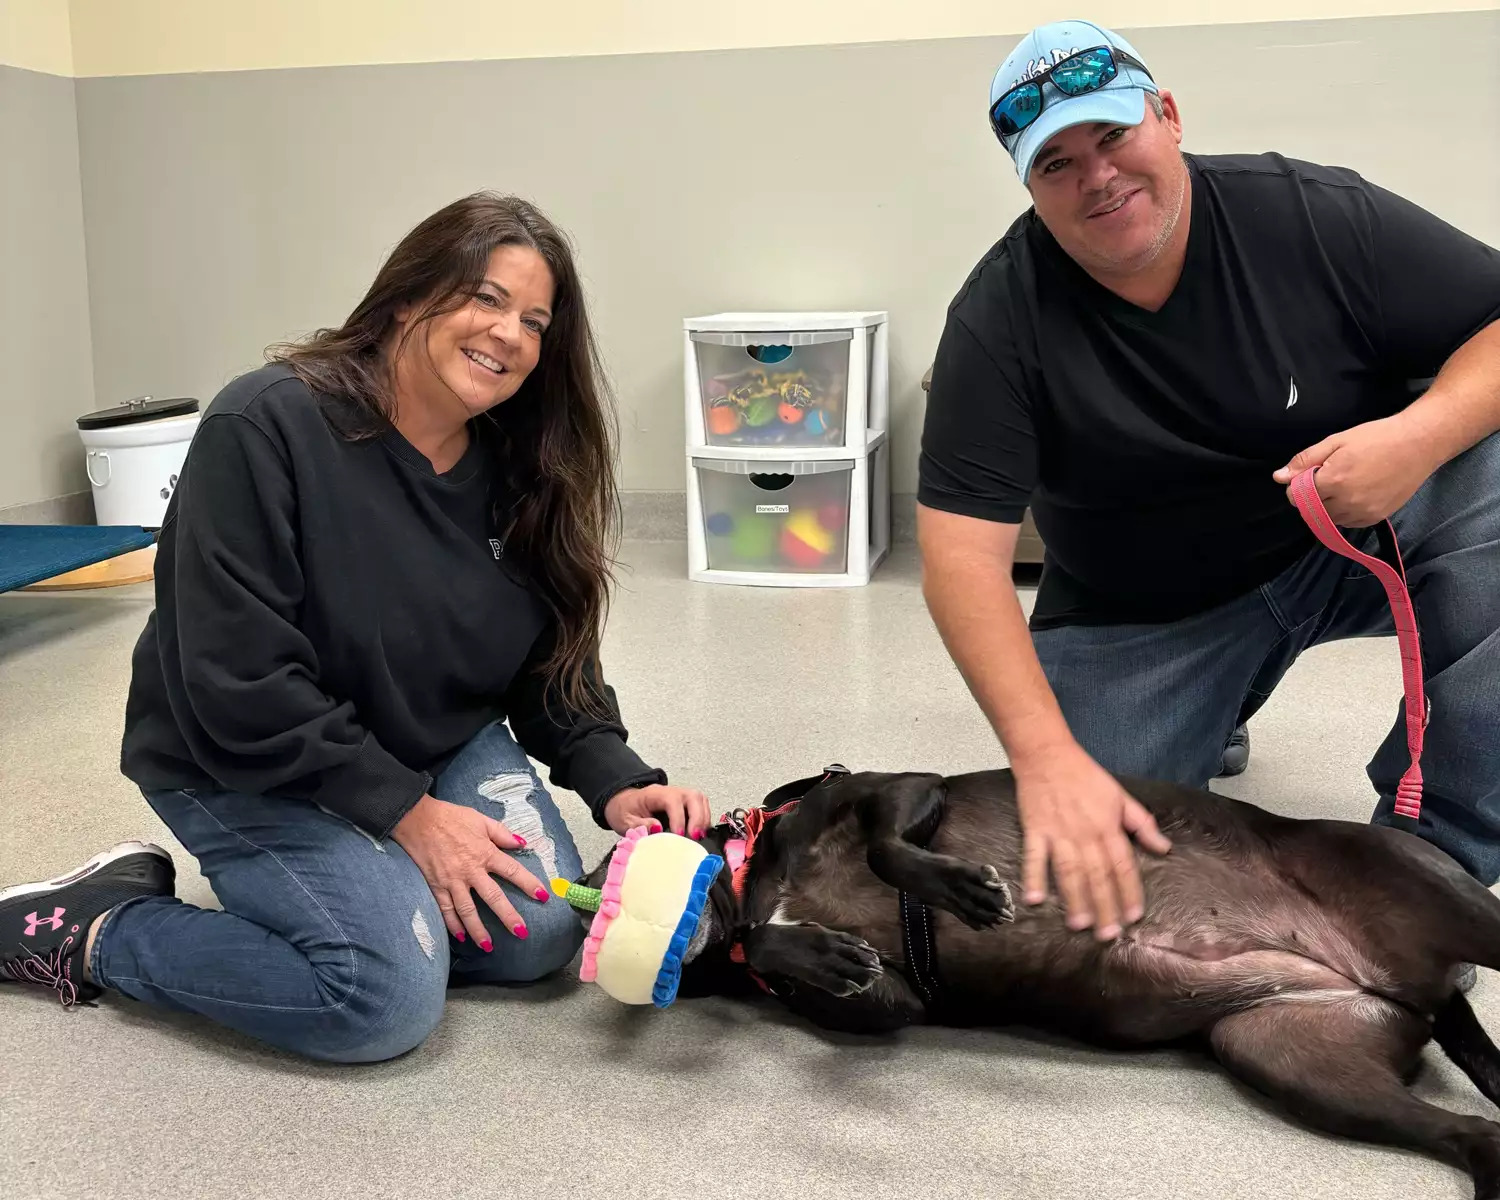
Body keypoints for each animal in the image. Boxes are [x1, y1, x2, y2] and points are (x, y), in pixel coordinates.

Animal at [576, 768, 1500, 1200]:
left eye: (625, 841)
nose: (581, 903)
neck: (757, 874)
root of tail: (1421, 990)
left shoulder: (899, 790)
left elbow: (885, 847)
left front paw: (962, 890)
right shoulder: (892, 999)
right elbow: (778, 945)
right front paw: (812, 952)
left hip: (1439, 905)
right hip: (1295, 1062)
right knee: (1472, 1134)